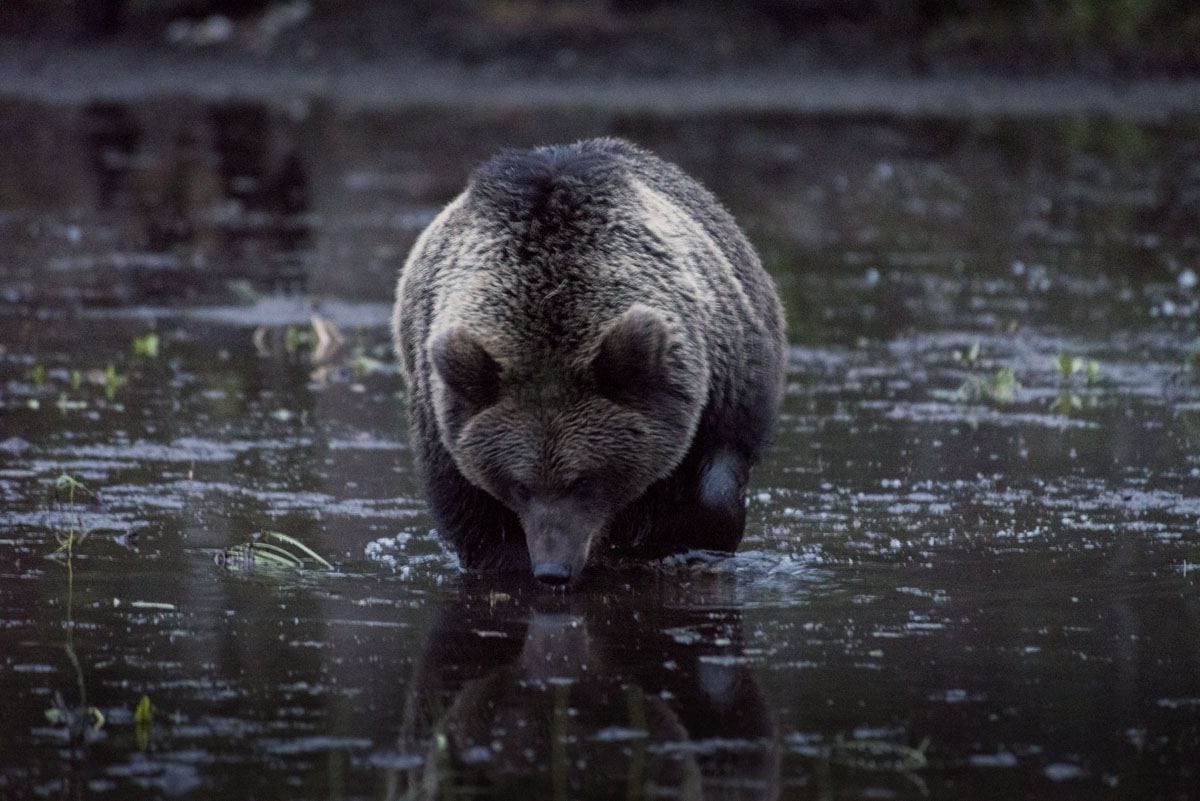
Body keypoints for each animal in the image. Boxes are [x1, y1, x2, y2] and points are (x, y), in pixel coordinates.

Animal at [393, 137, 787, 587]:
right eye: (519, 486)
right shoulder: (446, 420)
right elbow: (474, 514)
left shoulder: (723, 381)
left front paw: (685, 539)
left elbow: (715, 480)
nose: (553, 570)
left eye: (584, 482)